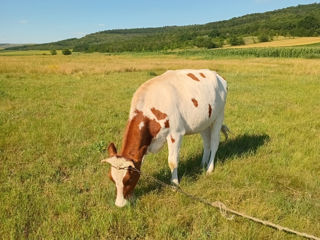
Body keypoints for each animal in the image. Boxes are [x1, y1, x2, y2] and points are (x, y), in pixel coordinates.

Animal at [102, 69, 228, 206]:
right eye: (111, 178)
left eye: (128, 179)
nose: (119, 204)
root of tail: (217, 75)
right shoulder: (145, 144)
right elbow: (140, 163)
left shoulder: (176, 134)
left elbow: (172, 162)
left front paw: (175, 186)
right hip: (204, 122)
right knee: (206, 143)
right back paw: (202, 164)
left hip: (218, 117)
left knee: (214, 143)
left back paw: (209, 169)